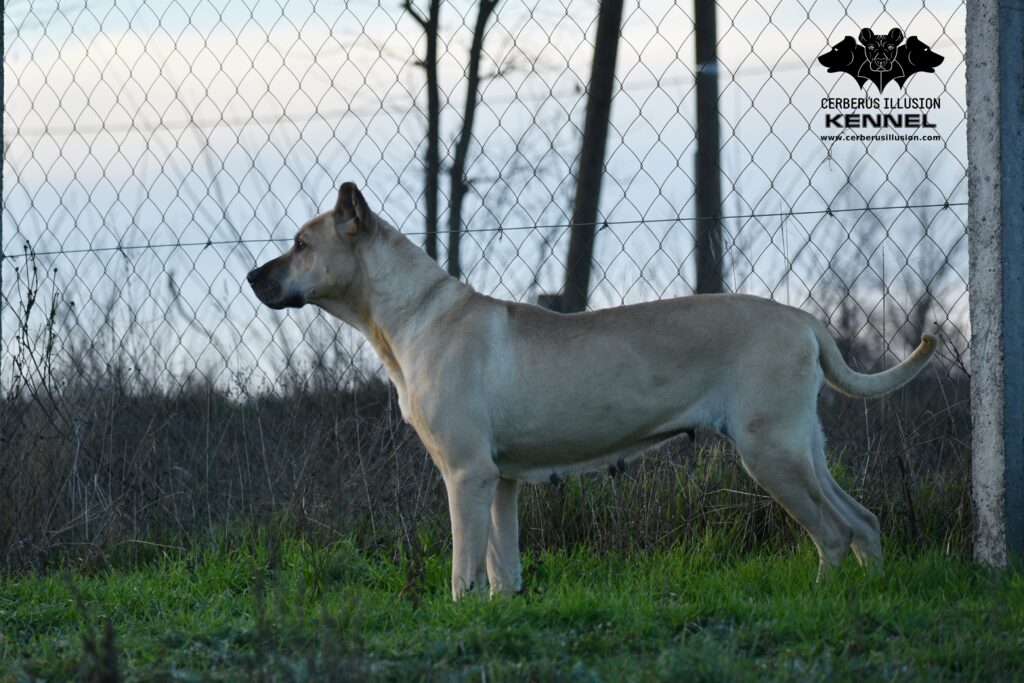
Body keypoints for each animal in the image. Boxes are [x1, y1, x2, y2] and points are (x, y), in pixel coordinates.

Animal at [247, 180, 937, 598]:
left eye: (302, 245)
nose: (252, 276)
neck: (409, 311)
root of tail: (804, 319)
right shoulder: (498, 482)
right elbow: (502, 565)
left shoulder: (465, 476)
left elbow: (464, 567)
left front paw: (459, 615)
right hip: (801, 448)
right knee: (864, 522)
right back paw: (871, 594)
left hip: (771, 453)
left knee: (833, 534)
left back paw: (824, 597)